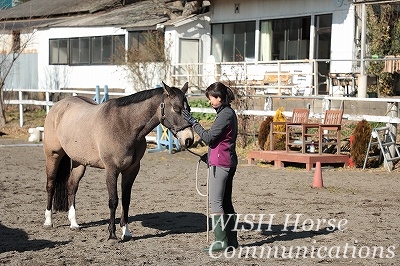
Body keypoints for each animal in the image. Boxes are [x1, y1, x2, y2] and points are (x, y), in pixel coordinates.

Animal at [43, 82, 195, 240]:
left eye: (189, 109)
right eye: (176, 108)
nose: (189, 139)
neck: (125, 125)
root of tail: (58, 106)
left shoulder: (131, 170)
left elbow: (126, 200)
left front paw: (126, 232)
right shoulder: (111, 170)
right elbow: (113, 200)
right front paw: (112, 234)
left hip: (79, 162)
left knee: (72, 186)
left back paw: (74, 223)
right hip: (53, 156)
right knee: (50, 185)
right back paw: (48, 221)